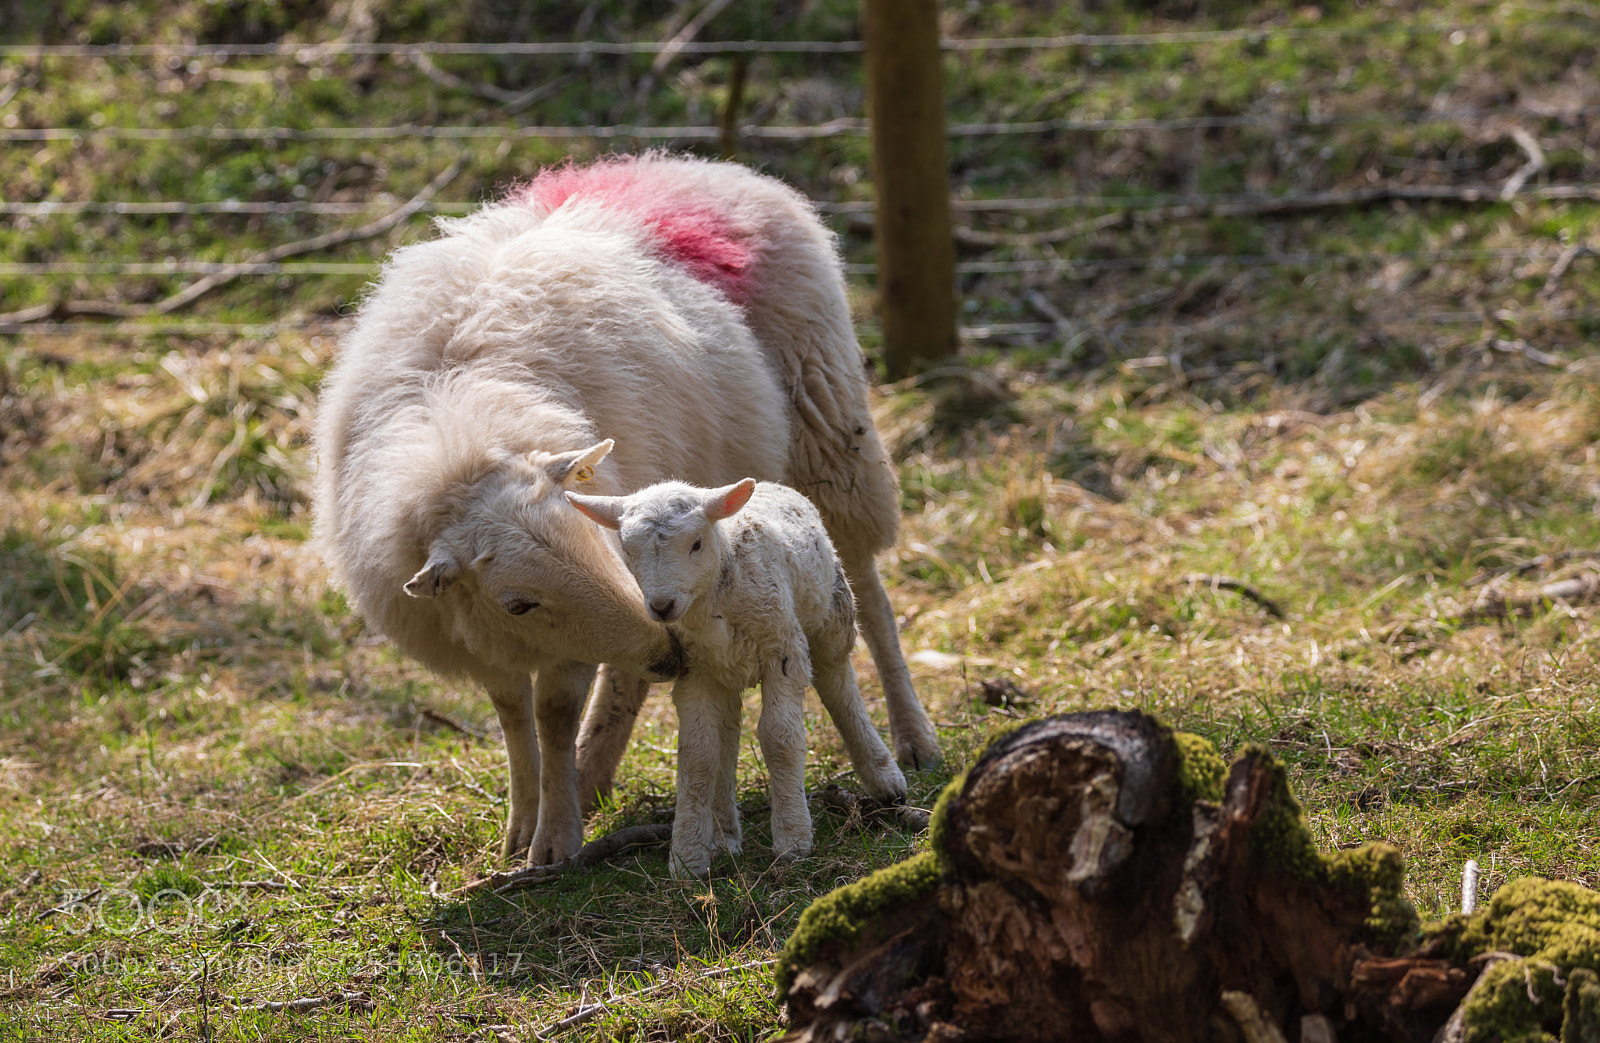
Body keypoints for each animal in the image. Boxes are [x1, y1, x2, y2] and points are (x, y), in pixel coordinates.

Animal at [568, 478, 908, 877]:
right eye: (627, 549)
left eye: (697, 543)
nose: (662, 606)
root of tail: (773, 484)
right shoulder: (695, 672)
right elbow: (697, 755)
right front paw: (688, 857)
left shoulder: (783, 650)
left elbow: (779, 738)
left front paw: (792, 839)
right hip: (725, 672)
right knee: (727, 733)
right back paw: (724, 836)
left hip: (831, 613)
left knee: (838, 683)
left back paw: (886, 780)